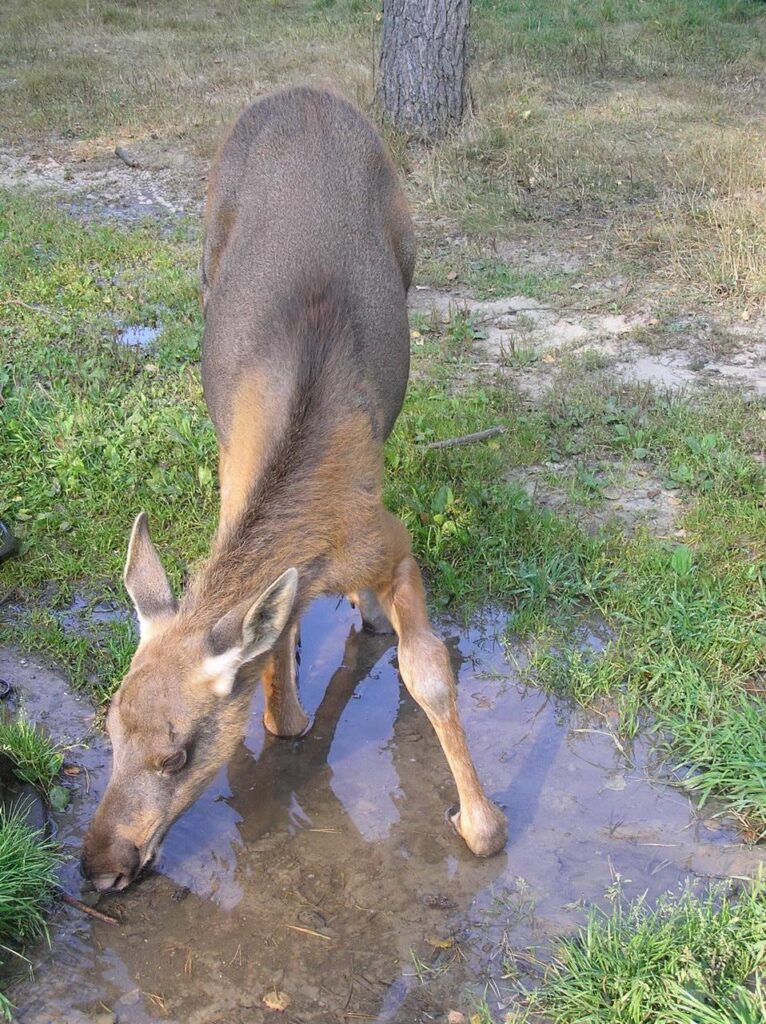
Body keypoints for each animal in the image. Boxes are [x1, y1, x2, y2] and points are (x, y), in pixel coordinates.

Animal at [81, 87, 507, 892]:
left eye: (176, 752)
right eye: (109, 725)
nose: (100, 864)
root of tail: (303, 93)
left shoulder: (391, 539)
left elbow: (429, 673)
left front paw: (480, 823)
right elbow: (282, 699)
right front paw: (290, 694)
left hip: (408, 248)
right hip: (206, 254)